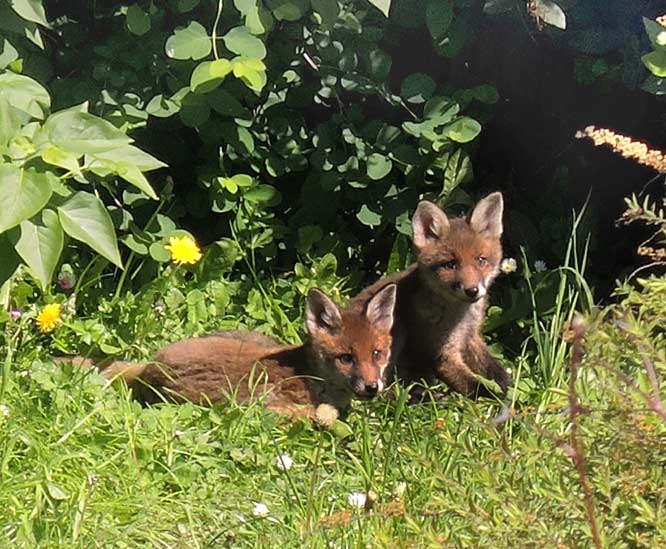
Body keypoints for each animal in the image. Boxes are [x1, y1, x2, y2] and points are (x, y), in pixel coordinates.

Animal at [101, 284, 398, 420]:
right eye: (346, 358)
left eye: (377, 354)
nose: (372, 387)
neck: (311, 379)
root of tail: (152, 364)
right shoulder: (269, 407)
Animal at [351, 192, 511, 397]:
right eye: (451, 265)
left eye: (480, 260)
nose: (472, 290)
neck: (460, 317)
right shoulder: (441, 354)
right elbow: (475, 386)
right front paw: (501, 399)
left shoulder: (470, 337)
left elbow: (495, 371)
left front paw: (509, 388)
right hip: (395, 331)